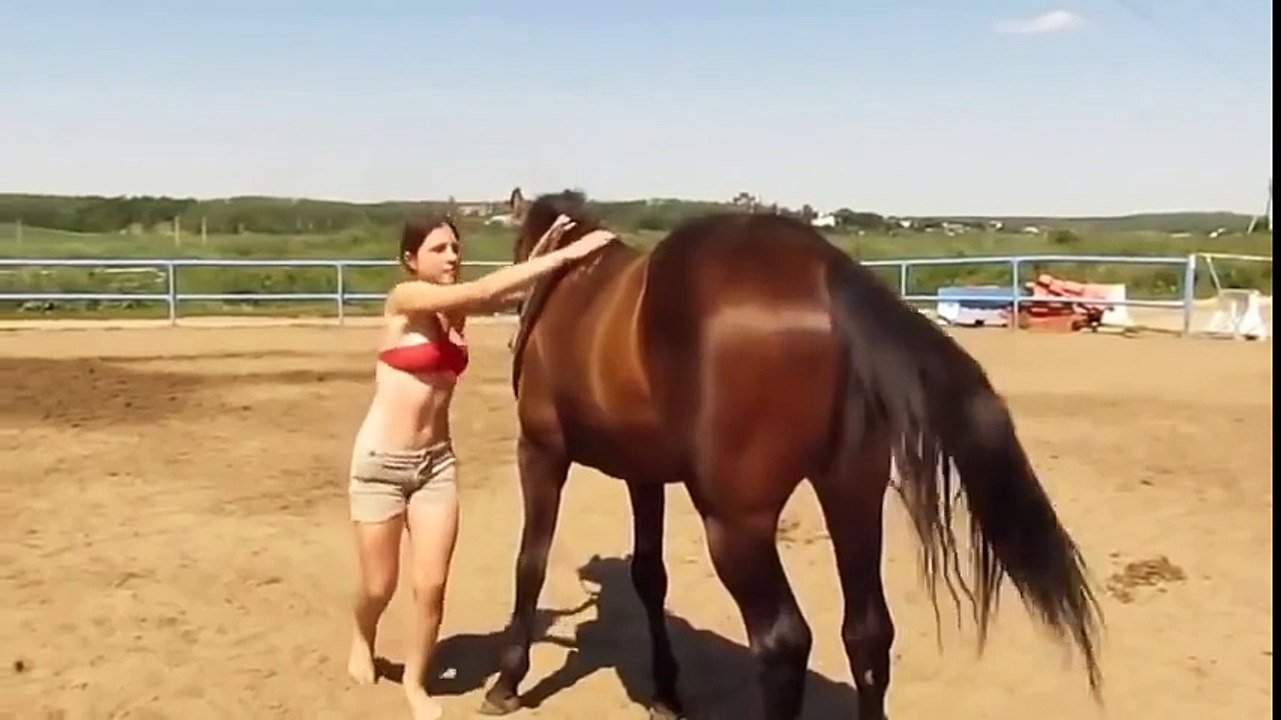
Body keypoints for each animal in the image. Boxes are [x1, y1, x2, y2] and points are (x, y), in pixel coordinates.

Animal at [478, 191, 1104, 720]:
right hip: (853, 497)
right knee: (868, 633)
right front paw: (665, 692)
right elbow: (649, 576)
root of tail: (824, 273)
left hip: (737, 525)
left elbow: (530, 563)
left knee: (783, 643)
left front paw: (507, 683)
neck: (570, 288)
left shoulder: (542, 453)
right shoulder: (644, 475)